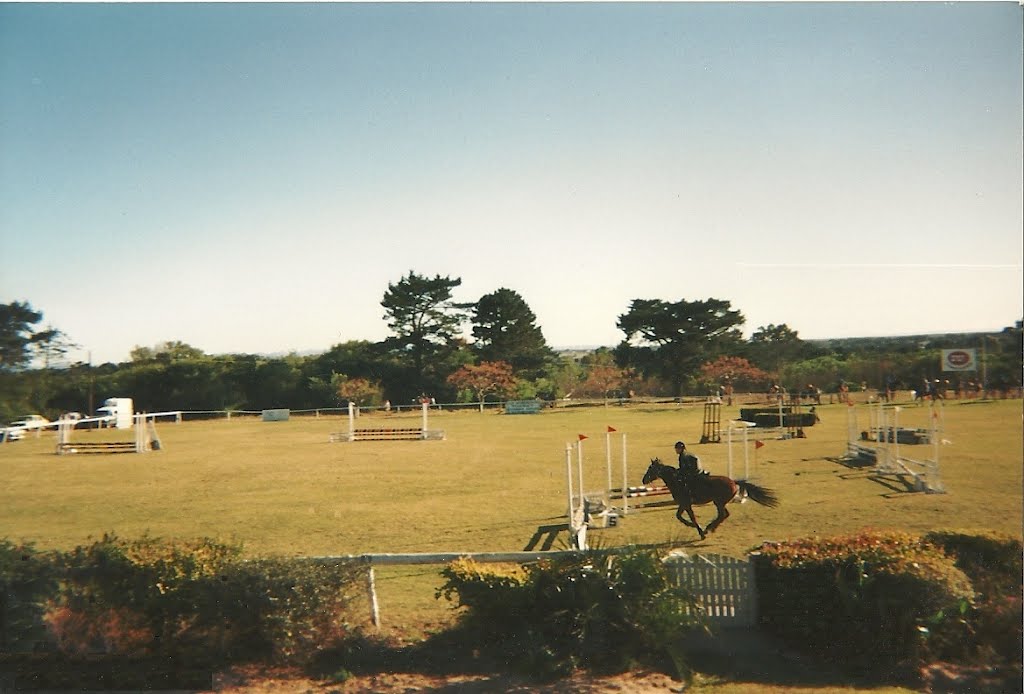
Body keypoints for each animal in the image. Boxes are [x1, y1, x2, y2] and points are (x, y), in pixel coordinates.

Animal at [643, 458, 778, 540]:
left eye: (651, 469)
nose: (643, 480)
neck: (678, 481)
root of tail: (734, 482)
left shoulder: (686, 504)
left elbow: (691, 518)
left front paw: (700, 531)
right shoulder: (683, 504)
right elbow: (679, 516)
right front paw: (695, 527)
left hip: (719, 502)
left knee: (722, 514)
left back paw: (709, 528)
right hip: (719, 502)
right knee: (724, 514)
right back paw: (711, 528)